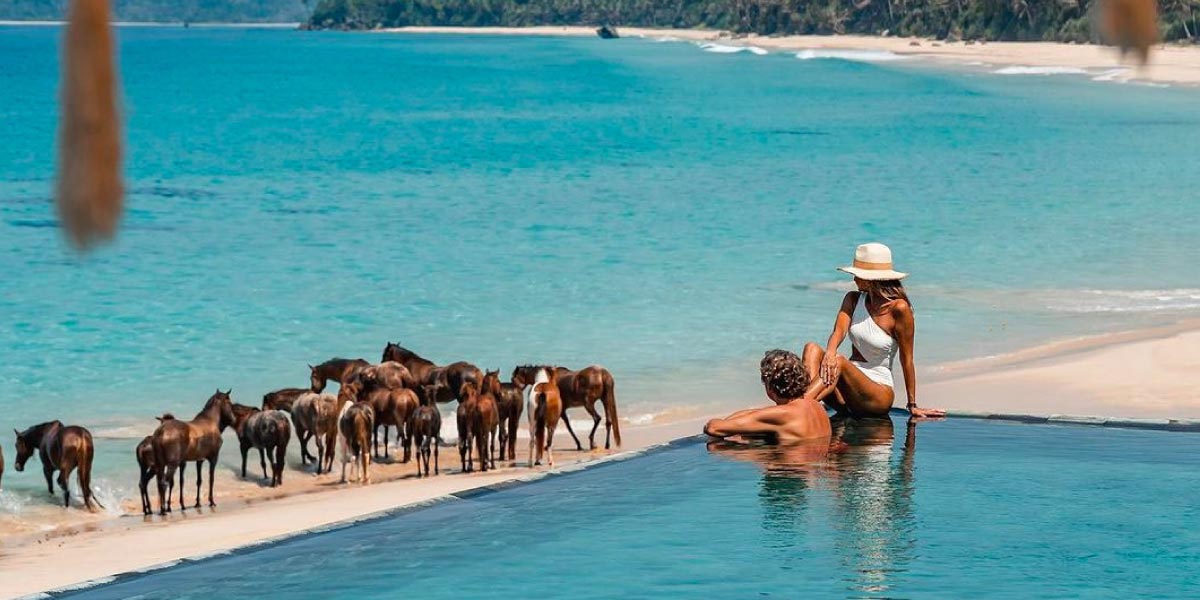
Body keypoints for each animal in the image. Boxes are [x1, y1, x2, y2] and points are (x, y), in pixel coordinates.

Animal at [150, 388, 234, 516]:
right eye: (230, 403)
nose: (233, 419)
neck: (211, 420)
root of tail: (161, 432)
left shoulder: (199, 460)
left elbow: (199, 480)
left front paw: (197, 503)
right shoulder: (214, 457)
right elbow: (211, 479)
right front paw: (211, 501)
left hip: (160, 464)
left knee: (160, 483)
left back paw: (162, 509)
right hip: (172, 464)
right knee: (164, 483)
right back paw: (164, 510)